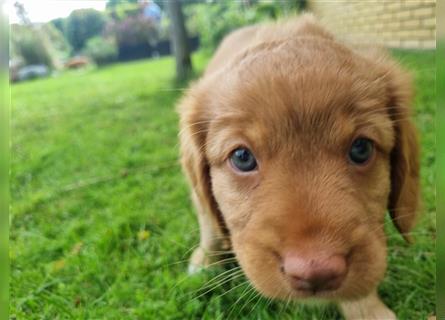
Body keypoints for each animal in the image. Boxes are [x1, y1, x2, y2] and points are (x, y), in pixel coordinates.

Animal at [176, 15, 416, 320]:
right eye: (242, 157)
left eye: (361, 148)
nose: (316, 273)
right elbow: (208, 224)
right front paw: (205, 261)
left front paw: (368, 309)